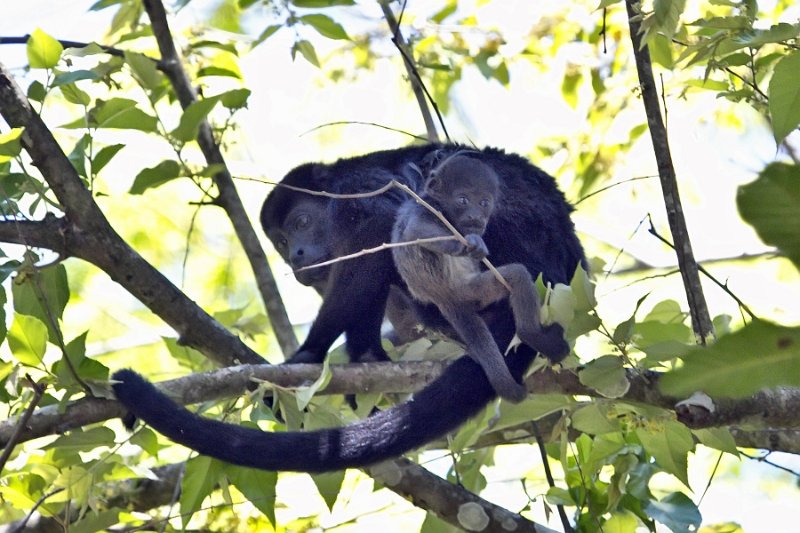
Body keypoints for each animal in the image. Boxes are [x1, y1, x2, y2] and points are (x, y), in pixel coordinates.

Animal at [390, 152, 564, 402]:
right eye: (463, 200)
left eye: (484, 202)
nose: (476, 217)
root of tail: (446, 299)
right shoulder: (425, 209)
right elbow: (416, 230)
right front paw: (468, 244)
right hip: (470, 288)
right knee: (517, 275)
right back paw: (533, 336)